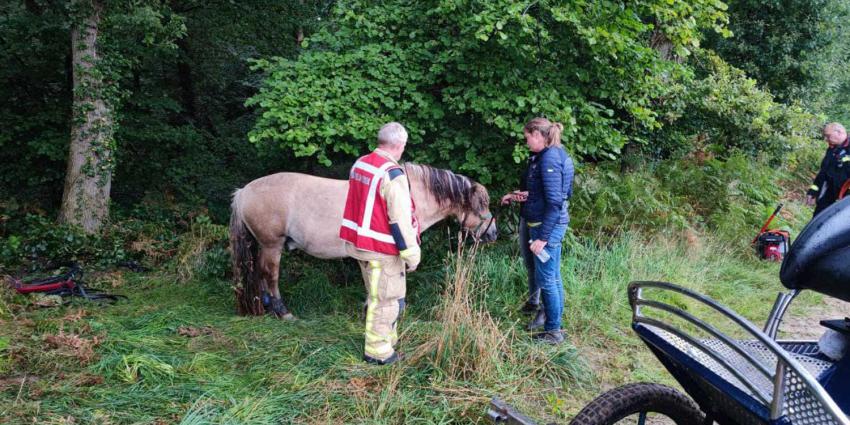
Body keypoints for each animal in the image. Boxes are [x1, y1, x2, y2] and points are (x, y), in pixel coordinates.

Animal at [228, 163, 498, 319]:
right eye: (481, 205)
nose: (493, 233)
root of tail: (243, 192)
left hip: (264, 245)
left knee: (260, 273)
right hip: (272, 245)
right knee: (270, 275)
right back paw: (282, 311)